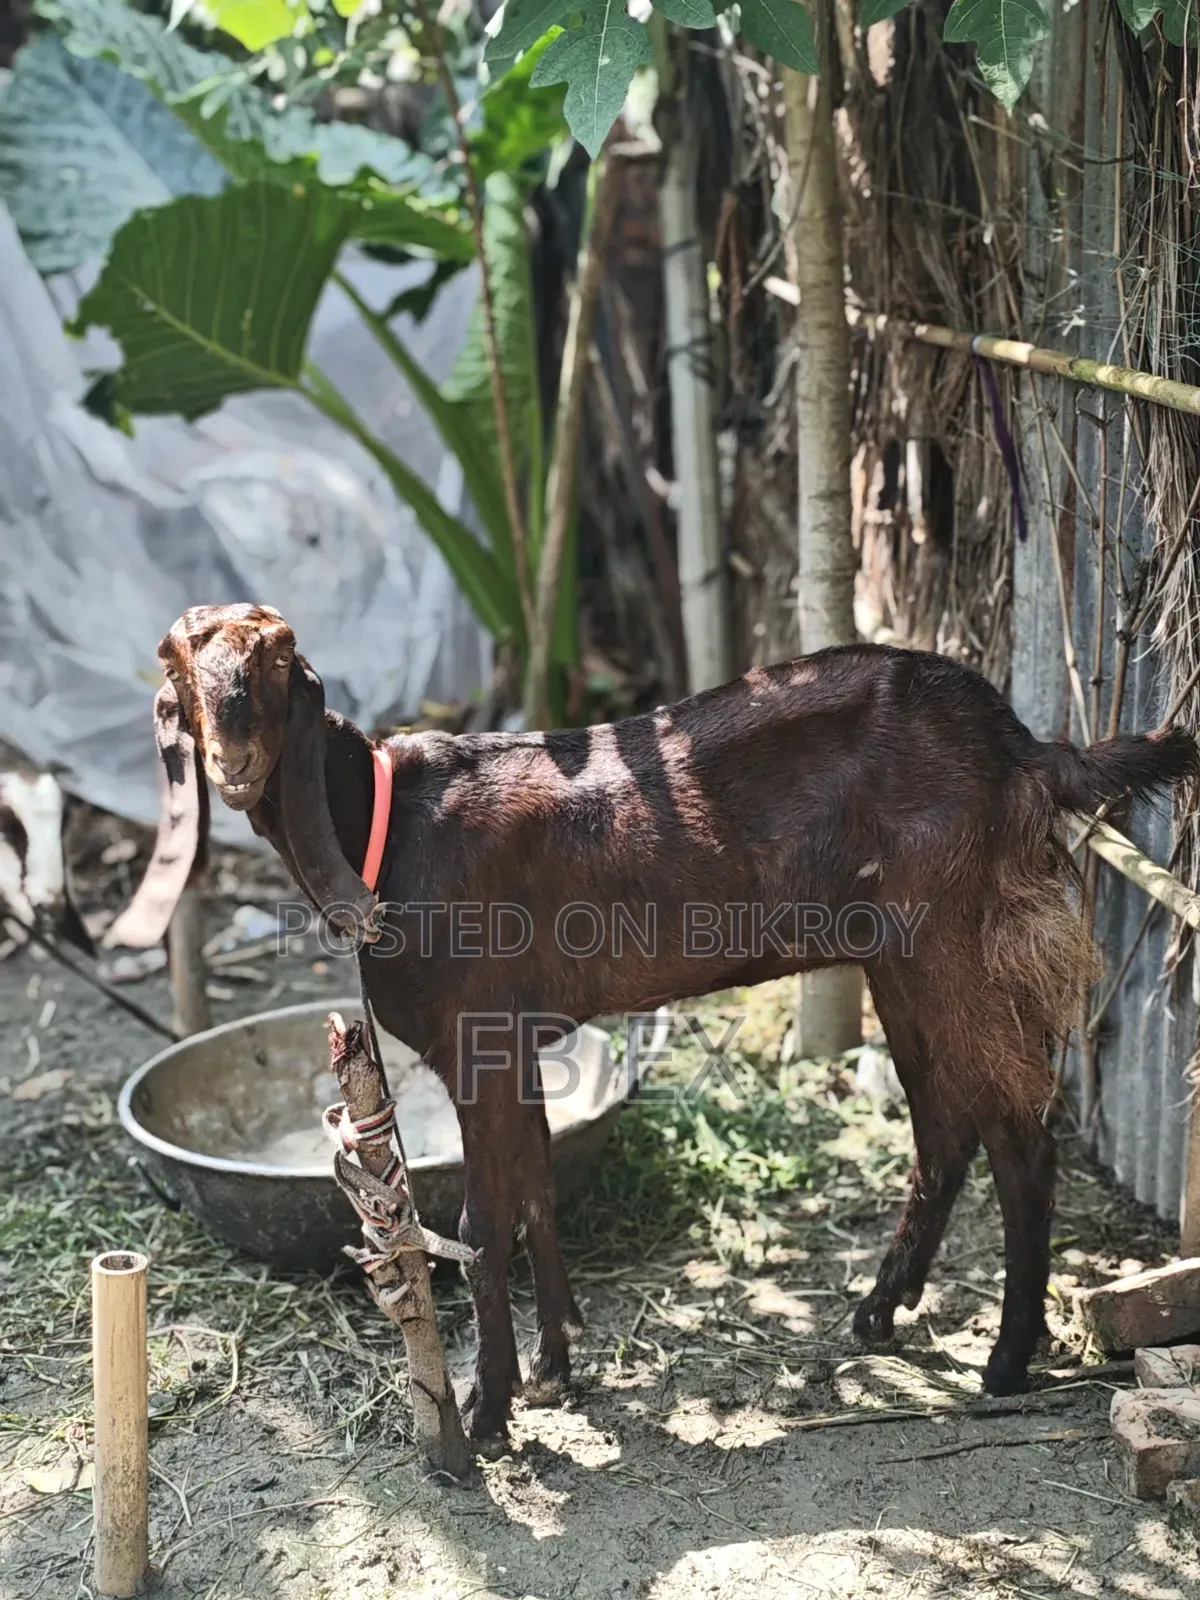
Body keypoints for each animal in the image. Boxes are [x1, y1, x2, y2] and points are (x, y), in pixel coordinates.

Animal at [119, 602, 1197, 1440]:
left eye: (274, 664)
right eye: (181, 665)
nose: (235, 760)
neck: (384, 829)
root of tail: (1027, 750)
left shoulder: (478, 1035)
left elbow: (482, 1219)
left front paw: (489, 1413)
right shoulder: (515, 1039)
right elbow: (539, 1190)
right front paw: (555, 1366)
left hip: (956, 937)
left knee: (1020, 1138)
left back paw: (1006, 1361)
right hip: (897, 953)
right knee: (945, 1130)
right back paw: (879, 1313)